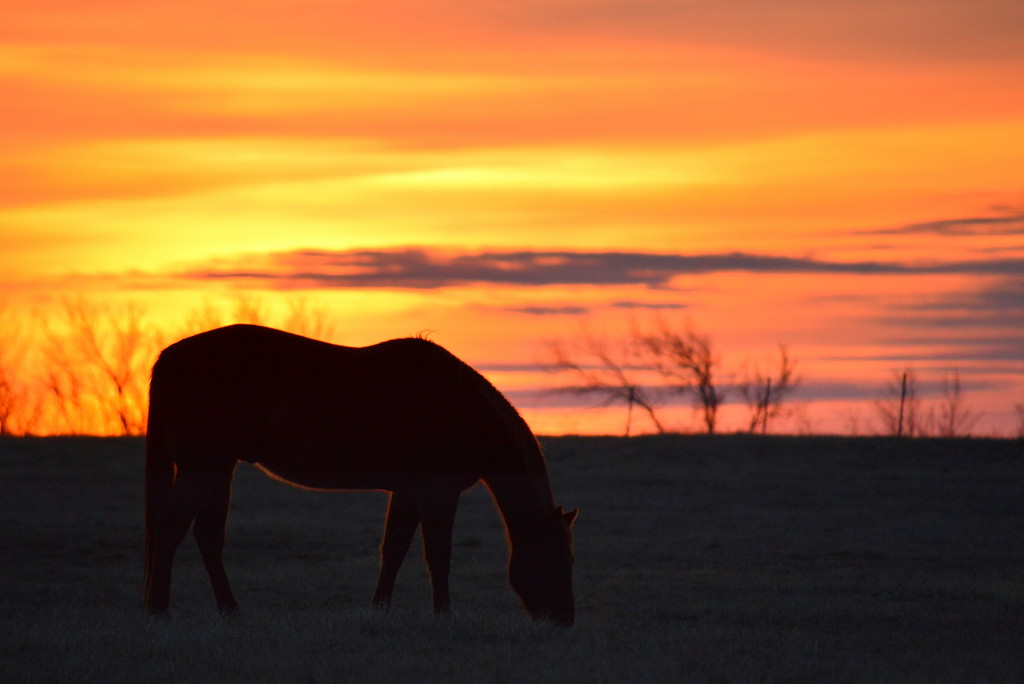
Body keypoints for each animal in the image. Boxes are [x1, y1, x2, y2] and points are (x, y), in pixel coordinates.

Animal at [142, 325, 577, 626]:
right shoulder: (438, 491)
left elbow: (394, 550)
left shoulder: (408, 492)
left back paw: (229, 611)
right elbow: (439, 554)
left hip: (219, 468)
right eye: (562, 558)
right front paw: (444, 614)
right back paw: (159, 611)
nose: (564, 620)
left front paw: (380, 610)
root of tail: (169, 358)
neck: (458, 408)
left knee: (207, 536)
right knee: (170, 526)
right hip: (201, 468)